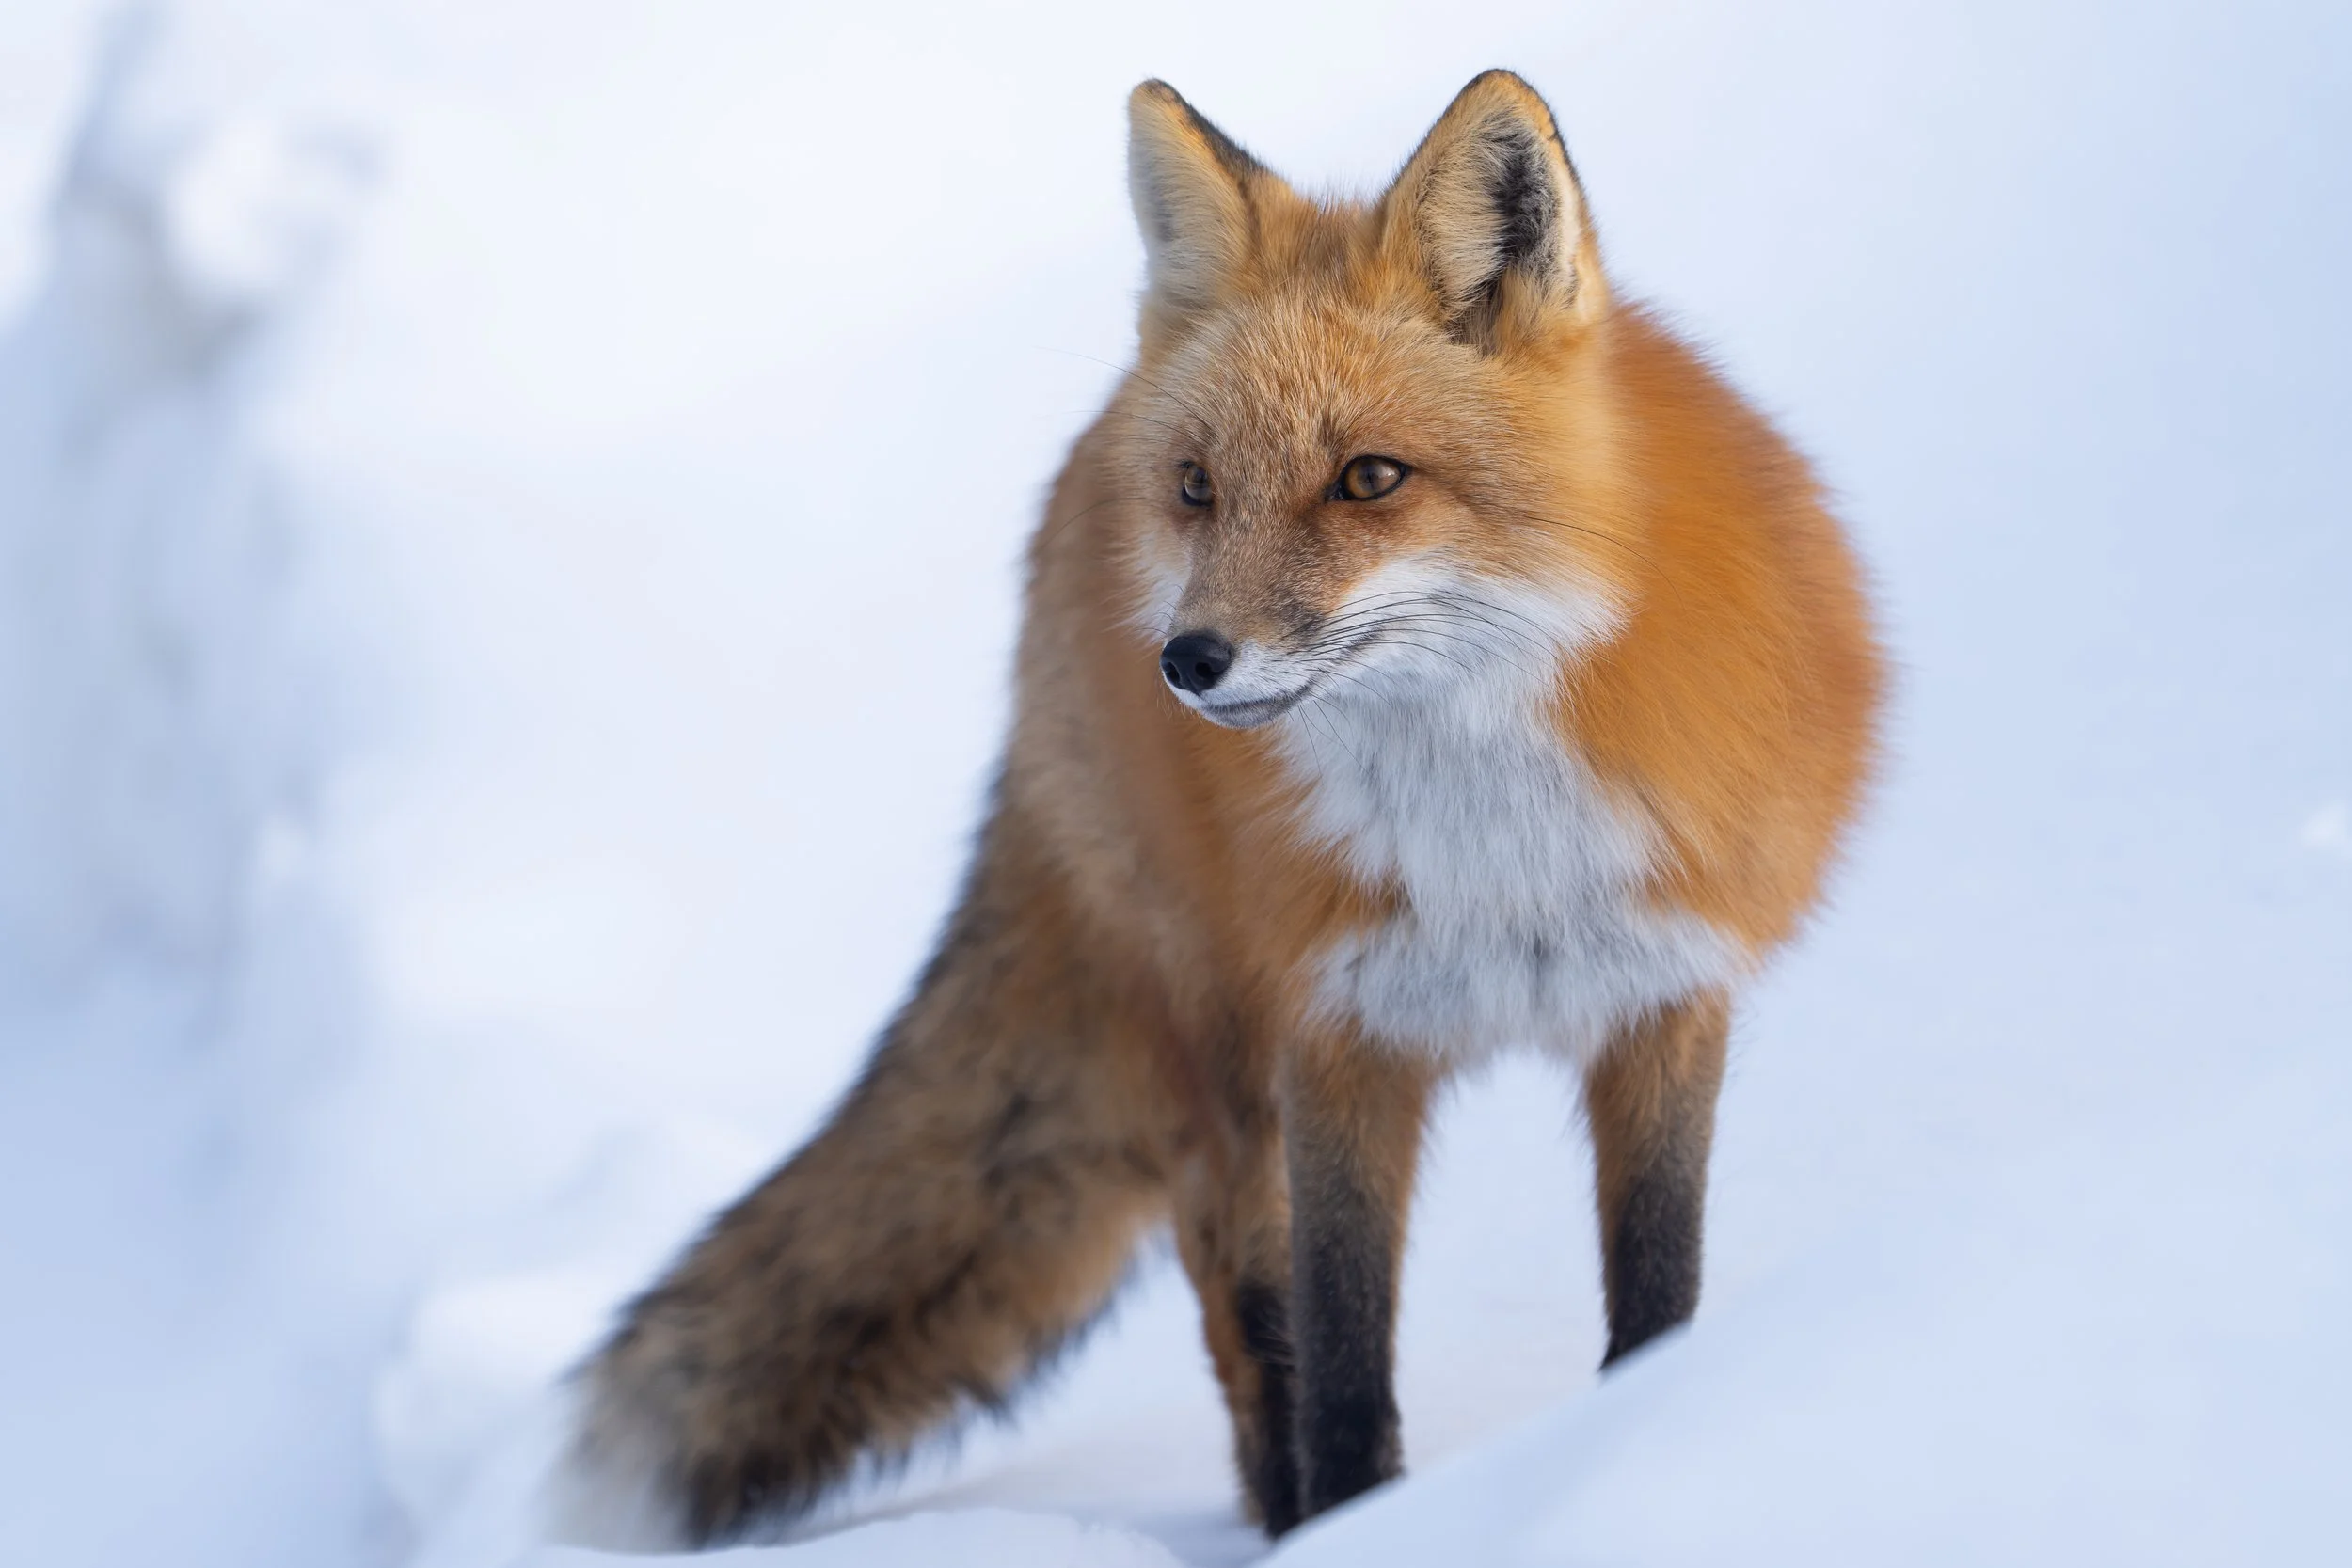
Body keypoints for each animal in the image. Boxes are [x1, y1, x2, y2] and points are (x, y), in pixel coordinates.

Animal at [564, 70, 1882, 1546]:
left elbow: (1659, 1297)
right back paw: (1280, 1511)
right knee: (1244, 1321)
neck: (1493, 849)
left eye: (1370, 477)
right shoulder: (1335, 1027)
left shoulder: (1664, 993)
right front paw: (1362, 1525)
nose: (1186, 661)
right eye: (1199, 487)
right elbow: (1342, 1351)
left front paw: (1631, 1447)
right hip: (1218, 1048)